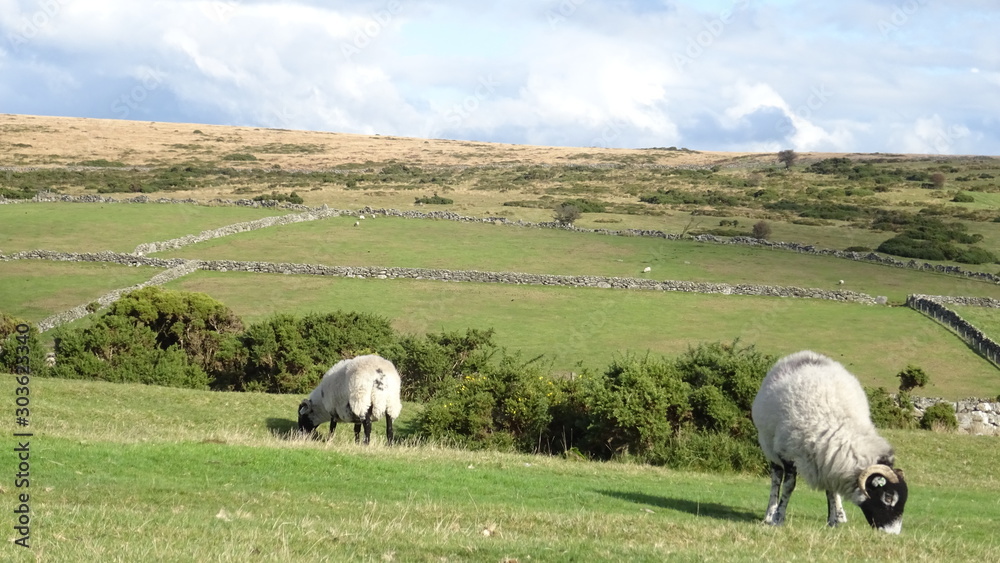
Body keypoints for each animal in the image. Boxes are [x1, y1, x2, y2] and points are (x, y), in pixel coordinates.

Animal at [751, 350, 908, 533]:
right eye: (888, 497)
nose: (893, 533)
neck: (839, 424)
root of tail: (803, 354)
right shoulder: (787, 453)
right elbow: (788, 486)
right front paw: (778, 518)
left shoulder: (828, 457)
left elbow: (832, 491)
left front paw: (833, 520)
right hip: (769, 446)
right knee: (776, 479)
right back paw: (770, 513)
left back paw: (840, 515)